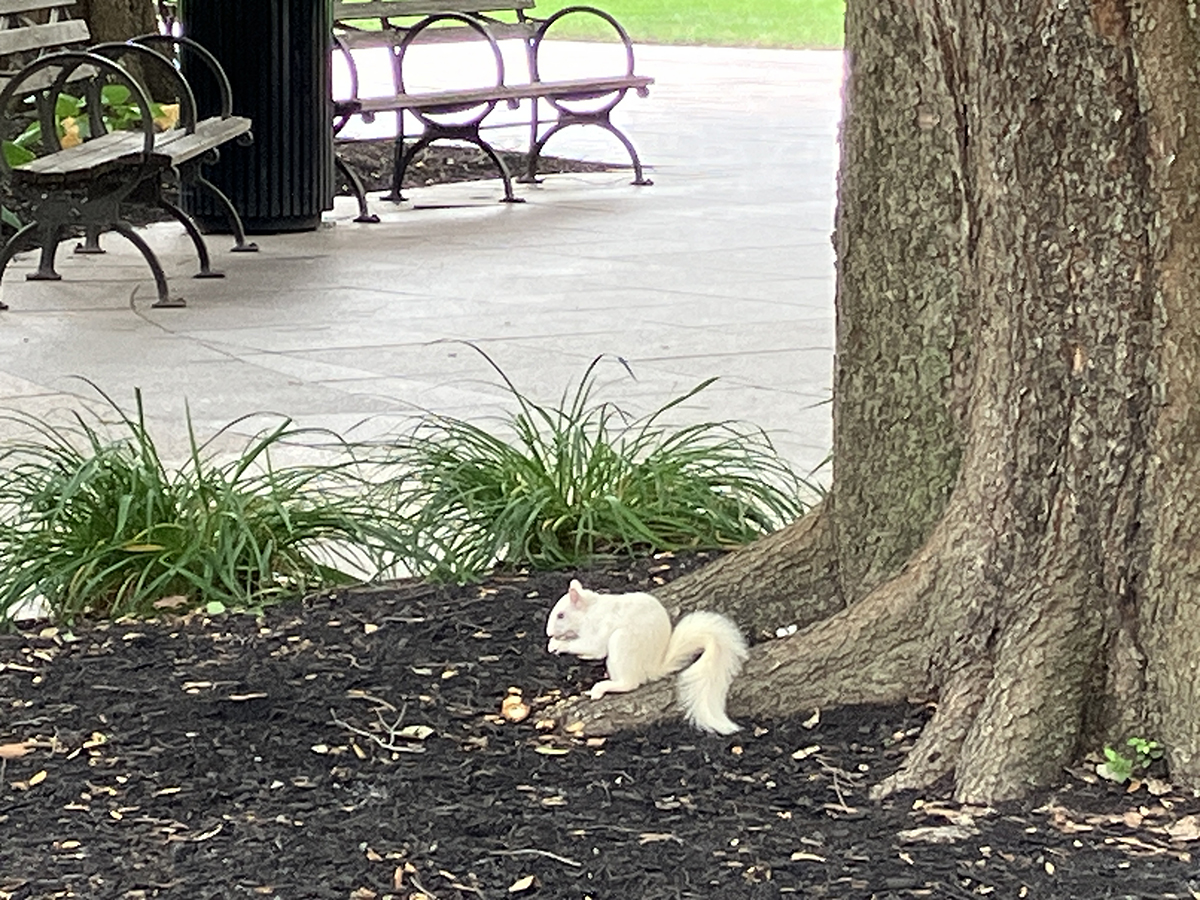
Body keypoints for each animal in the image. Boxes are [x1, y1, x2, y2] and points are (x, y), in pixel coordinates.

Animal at [545, 579, 749, 735]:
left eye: (561, 615)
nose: (548, 633)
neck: (589, 610)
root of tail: (652, 668)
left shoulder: (598, 627)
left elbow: (592, 647)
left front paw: (558, 644)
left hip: (621, 643)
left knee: (629, 683)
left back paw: (601, 688)